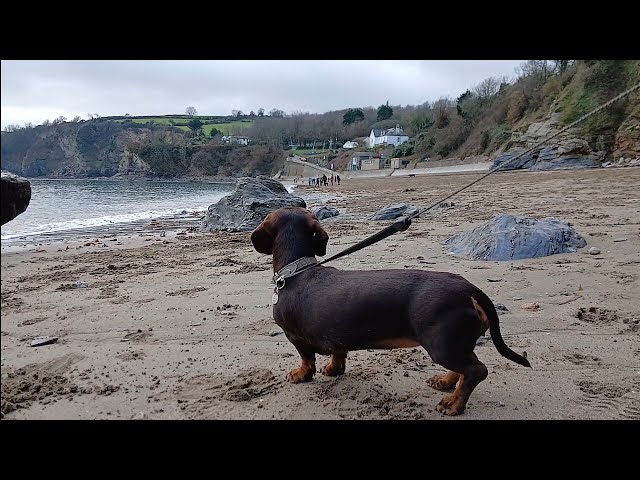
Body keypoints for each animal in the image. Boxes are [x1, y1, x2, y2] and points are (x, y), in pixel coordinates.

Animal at [250, 204, 528, 414]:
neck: (298, 271)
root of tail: (469, 288)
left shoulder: (294, 336)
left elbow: (306, 359)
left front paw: (301, 375)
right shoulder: (336, 333)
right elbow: (338, 352)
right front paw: (333, 369)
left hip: (441, 345)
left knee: (475, 370)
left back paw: (453, 404)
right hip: (453, 343)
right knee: (464, 367)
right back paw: (445, 382)